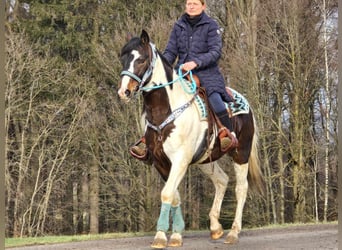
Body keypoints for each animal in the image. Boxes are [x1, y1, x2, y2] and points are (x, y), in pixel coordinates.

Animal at [117, 30, 264, 249]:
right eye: (123, 58)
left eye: (141, 59)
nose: (124, 91)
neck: (166, 111)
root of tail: (245, 103)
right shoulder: (161, 162)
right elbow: (174, 195)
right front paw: (176, 233)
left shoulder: (180, 160)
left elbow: (167, 193)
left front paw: (161, 236)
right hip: (205, 159)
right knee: (222, 180)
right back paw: (216, 227)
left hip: (241, 153)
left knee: (241, 188)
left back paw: (233, 232)